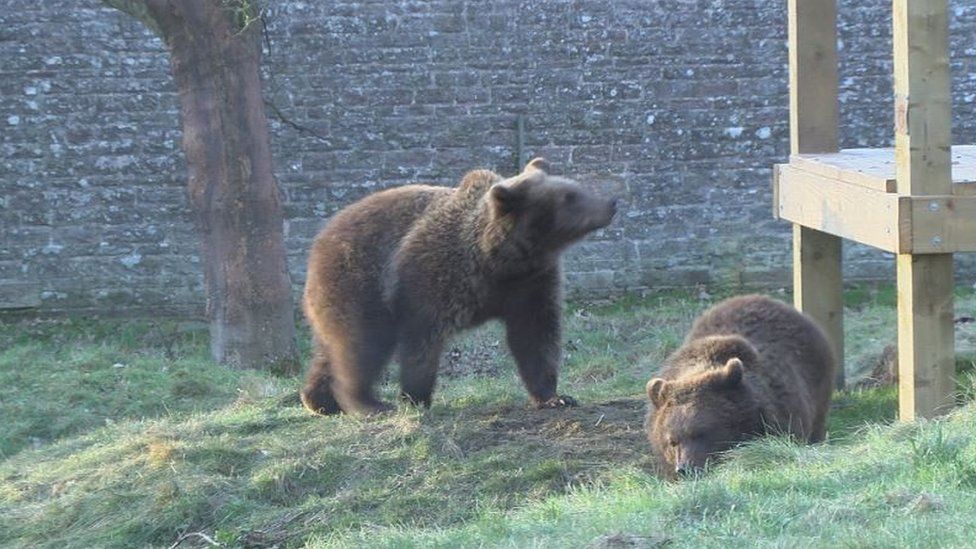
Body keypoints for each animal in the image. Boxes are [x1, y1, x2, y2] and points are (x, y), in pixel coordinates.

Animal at [300, 158, 618, 416]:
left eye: (574, 188)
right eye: (569, 197)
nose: (611, 203)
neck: (502, 260)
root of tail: (320, 239)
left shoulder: (531, 283)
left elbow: (536, 335)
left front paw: (555, 397)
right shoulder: (432, 278)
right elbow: (422, 340)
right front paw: (415, 398)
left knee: (332, 349)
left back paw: (318, 400)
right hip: (359, 284)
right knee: (362, 344)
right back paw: (368, 403)